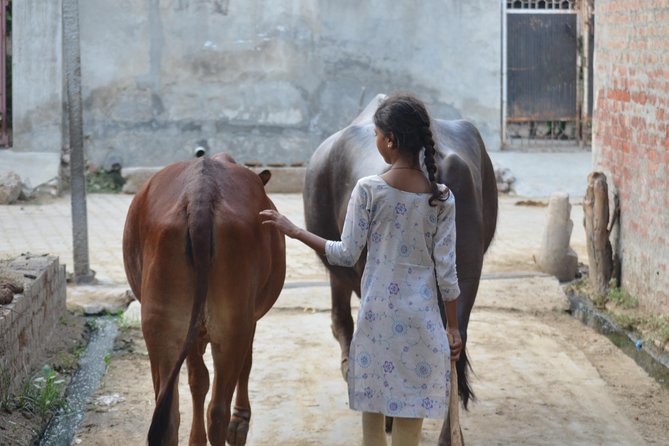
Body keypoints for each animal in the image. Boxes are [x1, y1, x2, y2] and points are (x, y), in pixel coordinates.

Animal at [123, 152, 286, 446]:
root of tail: (200, 193)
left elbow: (197, 379)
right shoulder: (251, 319)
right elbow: (242, 365)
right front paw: (240, 422)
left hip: (162, 324)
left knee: (168, 417)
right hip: (232, 326)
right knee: (217, 409)